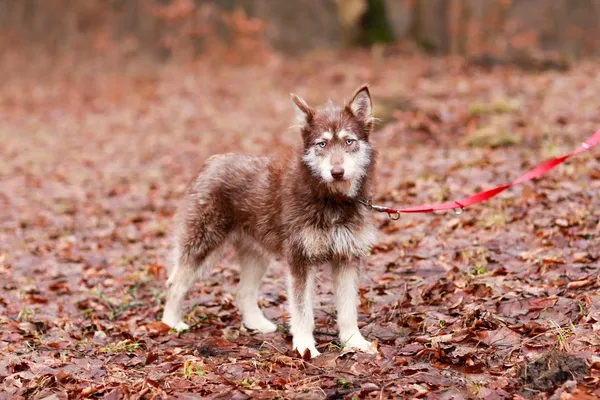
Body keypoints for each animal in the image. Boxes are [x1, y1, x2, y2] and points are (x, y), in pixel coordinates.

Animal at [162, 85, 378, 360]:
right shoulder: (299, 261)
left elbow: (349, 309)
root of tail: (212, 161)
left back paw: (257, 324)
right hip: (202, 245)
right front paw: (304, 346)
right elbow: (302, 311)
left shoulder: (347, 258)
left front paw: (354, 342)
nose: (337, 172)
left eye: (349, 141)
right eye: (322, 144)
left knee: (243, 292)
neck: (332, 199)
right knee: (175, 283)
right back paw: (170, 323)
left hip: (256, 254)